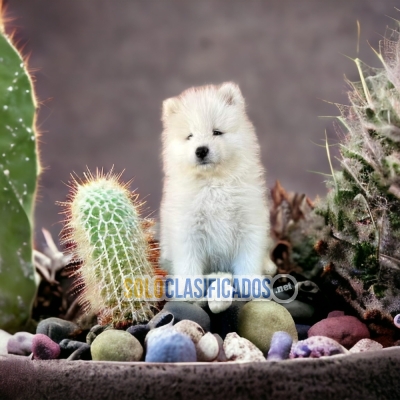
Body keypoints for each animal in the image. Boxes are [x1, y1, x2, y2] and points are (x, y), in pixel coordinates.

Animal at [159, 82, 276, 278]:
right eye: (190, 136)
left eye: (217, 132)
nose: (201, 150)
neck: (213, 183)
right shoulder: (187, 229)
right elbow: (188, 264)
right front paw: (188, 284)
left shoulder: (249, 222)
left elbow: (249, 260)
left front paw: (252, 281)